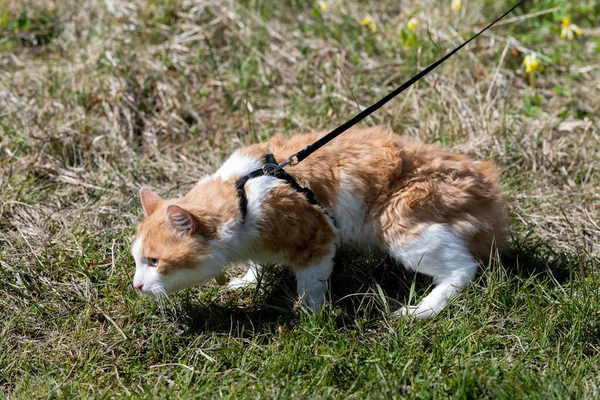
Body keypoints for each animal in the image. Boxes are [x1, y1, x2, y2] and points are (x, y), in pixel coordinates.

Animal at [131, 126, 506, 320]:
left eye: (155, 261)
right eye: (137, 261)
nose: (136, 285)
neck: (241, 195)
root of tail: (487, 185)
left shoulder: (318, 238)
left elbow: (310, 289)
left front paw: (309, 319)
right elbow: (256, 265)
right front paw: (247, 280)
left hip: (401, 224)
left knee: (464, 269)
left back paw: (419, 311)